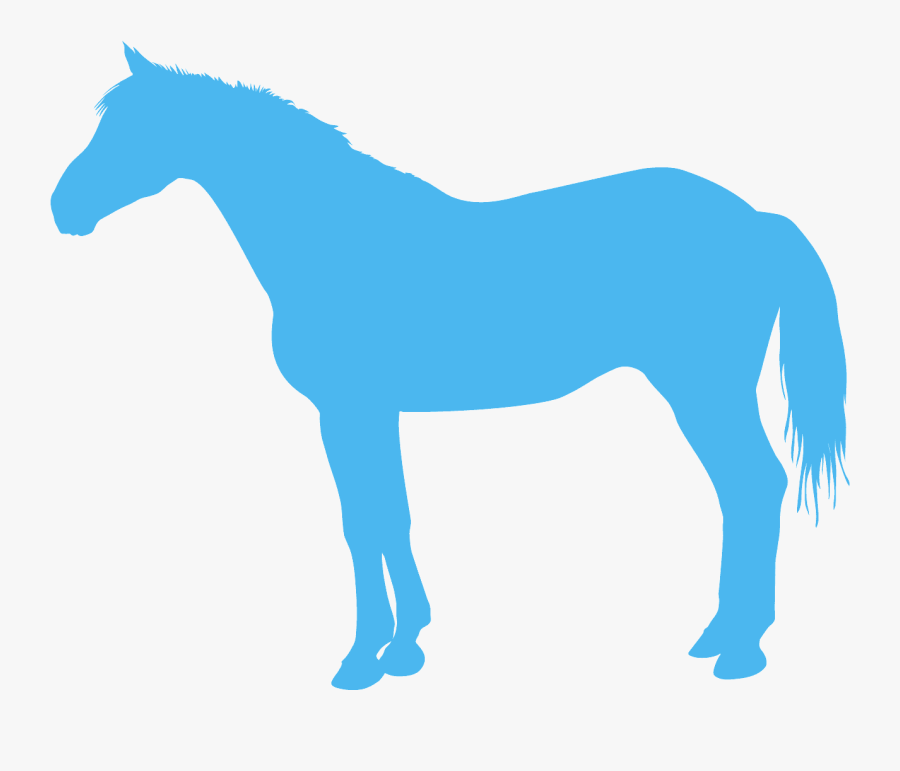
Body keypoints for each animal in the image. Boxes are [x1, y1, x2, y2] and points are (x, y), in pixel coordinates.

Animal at [51, 45, 848, 690]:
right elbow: (390, 516)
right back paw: (718, 636)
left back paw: (742, 650)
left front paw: (362, 658)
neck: (333, 237)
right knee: (739, 491)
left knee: (754, 485)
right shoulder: (374, 413)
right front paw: (406, 645)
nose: (62, 207)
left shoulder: (347, 410)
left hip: (703, 390)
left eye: (134, 130)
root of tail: (758, 219)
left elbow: (364, 522)